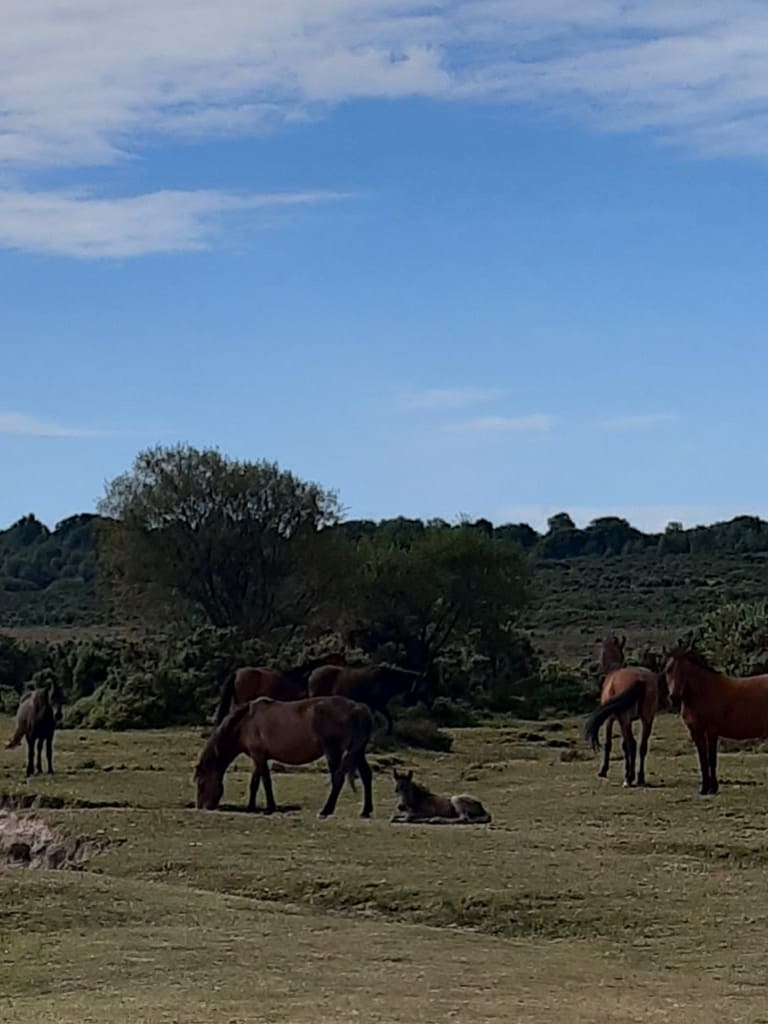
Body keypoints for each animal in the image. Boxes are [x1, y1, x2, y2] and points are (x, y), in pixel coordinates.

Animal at [195, 695, 374, 818]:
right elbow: (255, 783)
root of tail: (357, 707)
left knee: (338, 778)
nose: (202, 807)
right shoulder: (259, 756)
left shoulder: (259, 756)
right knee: (366, 775)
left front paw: (270, 808)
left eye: (201, 783)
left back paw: (326, 810)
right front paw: (251, 807)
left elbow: (265, 781)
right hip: (357, 752)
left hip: (333, 752)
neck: (245, 722)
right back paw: (365, 811)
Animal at [584, 636, 660, 787]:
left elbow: (609, 744)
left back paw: (629, 778)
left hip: (625, 719)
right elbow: (624, 746)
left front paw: (603, 771)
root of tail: (641, 679)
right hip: (647, 718)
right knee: (642, 746)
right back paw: (640, 777)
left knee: (632, 744)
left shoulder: (610, 720)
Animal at [665, 649, 768, 796]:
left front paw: (713, 788)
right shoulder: (696, 732)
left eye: (685, 671)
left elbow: (711, 759)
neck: (702, 693)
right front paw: (704, 789)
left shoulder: (711, 731)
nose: (674, 698)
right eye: (668, 670)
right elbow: (702, 759)